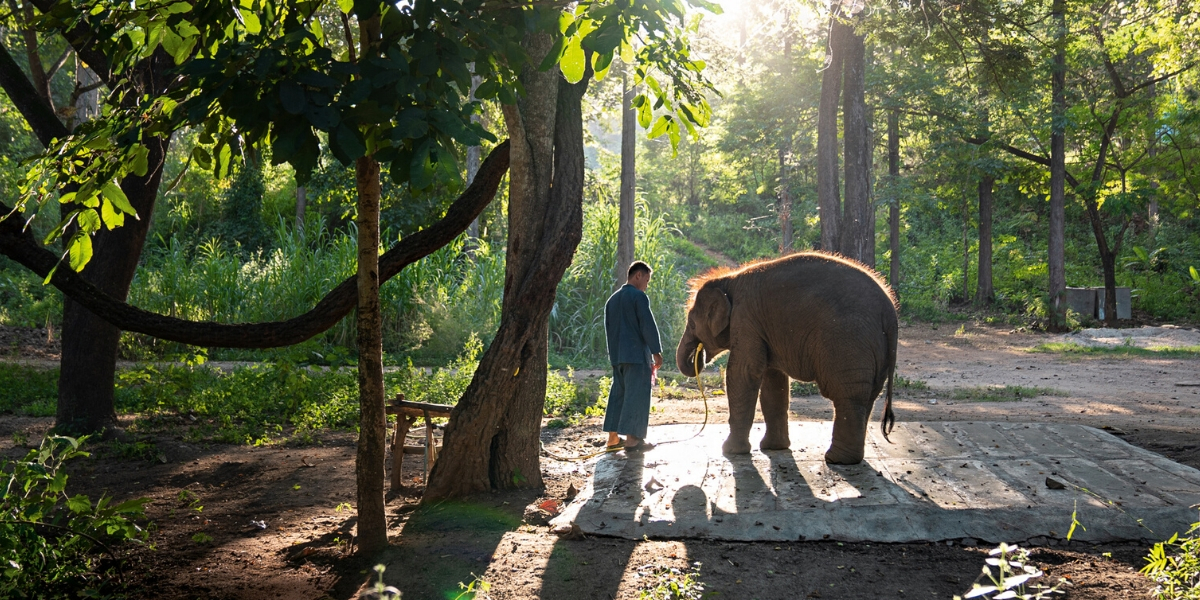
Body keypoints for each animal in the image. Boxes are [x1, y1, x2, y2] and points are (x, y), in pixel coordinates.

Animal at [676, 251, 898, 464]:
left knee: (848, 395)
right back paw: (849, 459)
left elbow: (742, 374)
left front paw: (730, 451)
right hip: (875, 351)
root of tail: (890, 312)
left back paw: (837, 460)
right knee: (867, 397)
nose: (698, 358)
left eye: (692, 324)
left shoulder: (745, 319)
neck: (729, 279)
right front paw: (773, 448)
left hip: (847, 342)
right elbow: (773, 381)